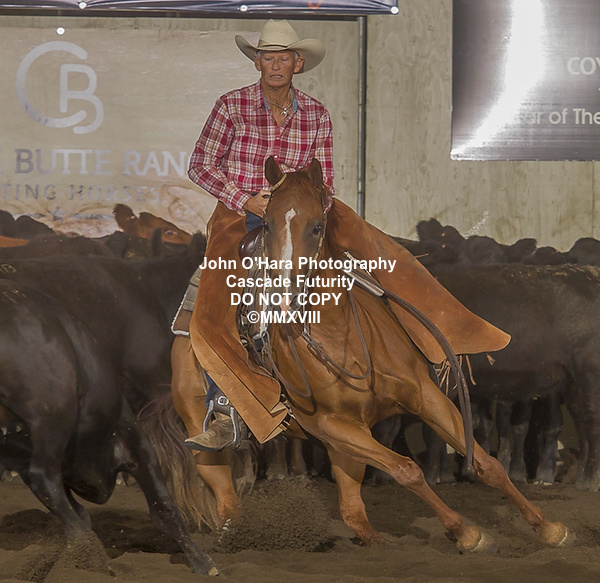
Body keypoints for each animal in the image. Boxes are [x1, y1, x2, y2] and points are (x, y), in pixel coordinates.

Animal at [171, 157, 572, 553]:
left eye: (317, 226)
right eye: (267, 225)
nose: (284, 301)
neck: (341, 340)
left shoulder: (425, 395)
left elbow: (488, 464)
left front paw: (549, 527)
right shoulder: (332, 425)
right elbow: (406, 469)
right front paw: (465, 532)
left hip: (345, 449)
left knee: (352, 510)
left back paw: (376, 541)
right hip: (208, 436)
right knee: (227, 499)